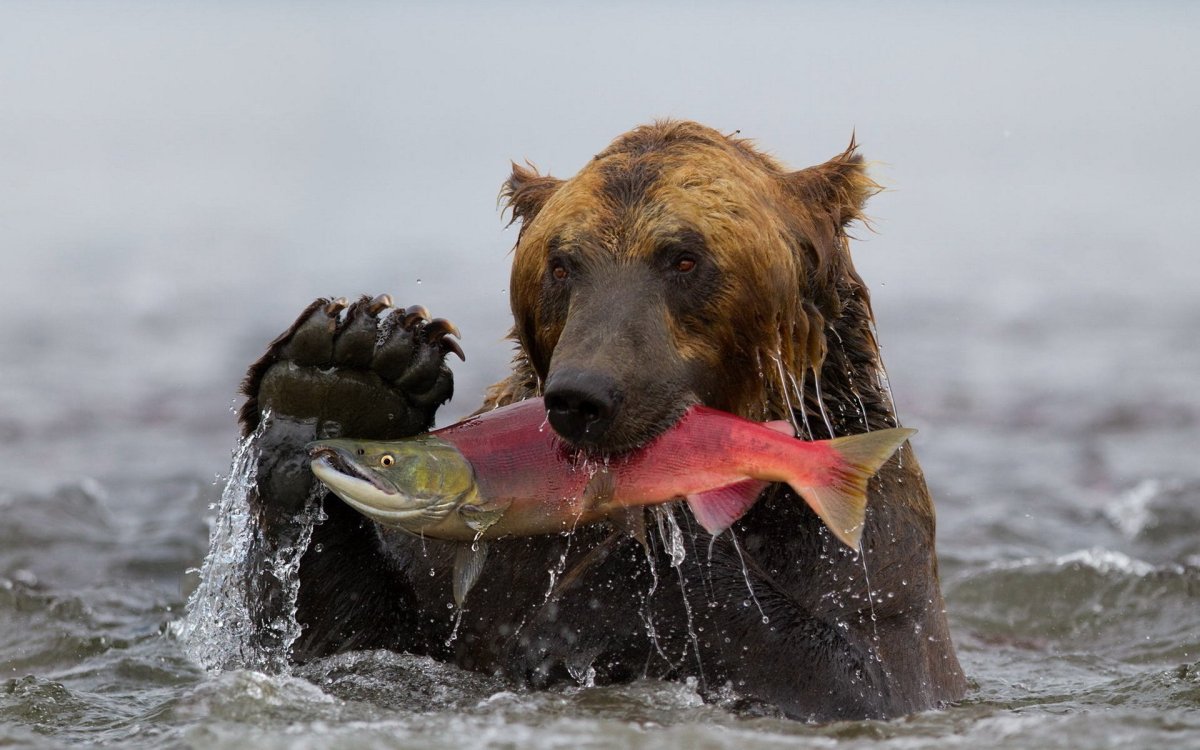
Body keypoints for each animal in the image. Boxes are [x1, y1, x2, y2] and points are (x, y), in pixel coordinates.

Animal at [237, 120, 967, 721]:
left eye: (684, 257)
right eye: (562, 263)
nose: (583, 395)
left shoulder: (861, 550)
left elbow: (862, 676)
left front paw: (586, 607)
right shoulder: (473, 571)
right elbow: (341, 640)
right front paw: (346, 375)